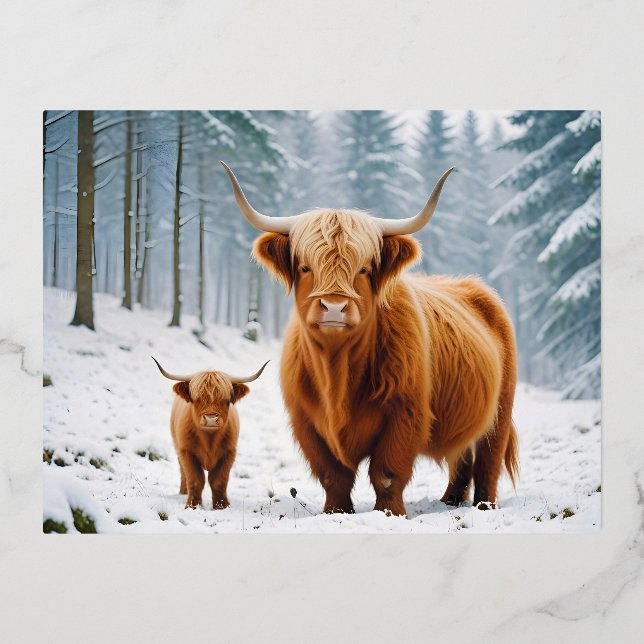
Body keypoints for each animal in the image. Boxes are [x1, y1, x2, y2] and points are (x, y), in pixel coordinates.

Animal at [153, 357, 268, 509]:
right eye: (196, 399)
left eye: (227, 400)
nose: (211, 420)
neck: (209, 439)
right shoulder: (187, 451)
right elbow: (195, 480)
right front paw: (192, 506)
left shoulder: (229, 452)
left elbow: (219, 481)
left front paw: (221, 506)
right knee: (182, 471)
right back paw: (183, 492)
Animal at [221, 161, 518, 517]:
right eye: (305, 267)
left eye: (363, 269)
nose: (334, 306)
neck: (337, 373)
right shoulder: (306, 422)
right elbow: (333, 475)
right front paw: (336, 512)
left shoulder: (406, 414)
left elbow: (387, 474)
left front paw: (390, 514)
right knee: (461, 456)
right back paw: (449, 500)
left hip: (500, 409)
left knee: (488, 460)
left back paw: (484, 505)